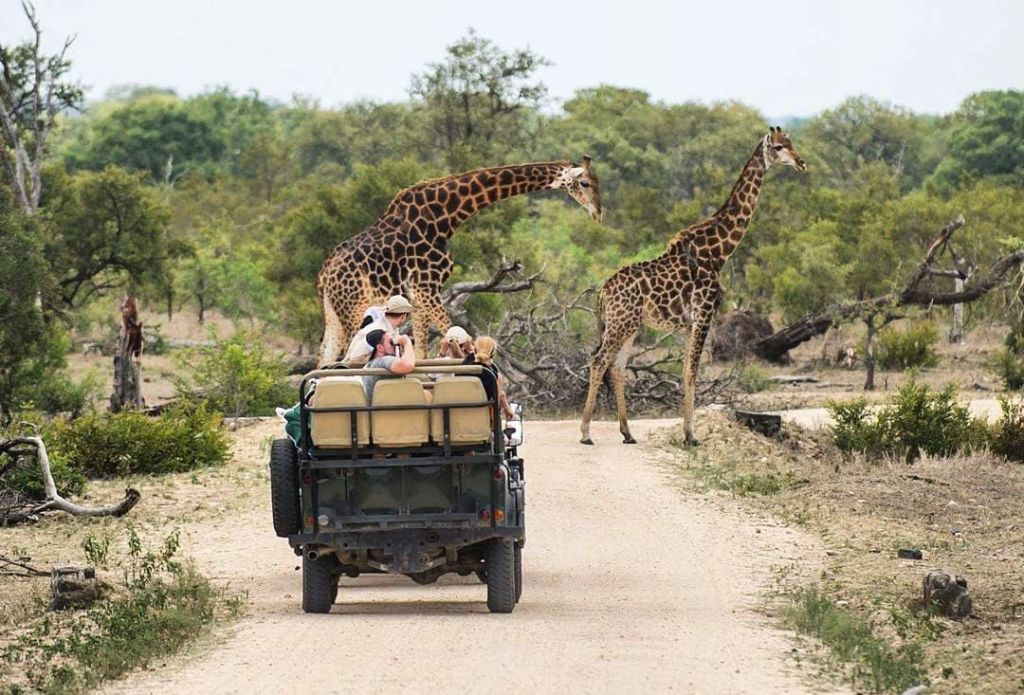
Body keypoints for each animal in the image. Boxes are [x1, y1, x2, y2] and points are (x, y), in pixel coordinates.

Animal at [311, 158, 598, 364]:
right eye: (585, 183)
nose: (598, 212)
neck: (446, 217)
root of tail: (324, 275)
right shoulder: (426, 286)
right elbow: (453, 330)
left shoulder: (419, 293)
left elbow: (422, 350)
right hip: (354, 306)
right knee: (349, 350)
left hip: (334, 311)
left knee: (325, 353)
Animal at [581, 126, 802, 446]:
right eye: (780, 147)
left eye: (792, 144)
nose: (802, 163)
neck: (719, 252)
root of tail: (602, 292)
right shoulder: (704, 314)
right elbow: (692, 372)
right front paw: (691, 436)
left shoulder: (688, 325)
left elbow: (686, 370)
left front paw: (688, 432)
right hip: (620, 324)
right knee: (599, 361)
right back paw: (585, 433)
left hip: (630, 325)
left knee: (618, 366)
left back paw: (627, 432)